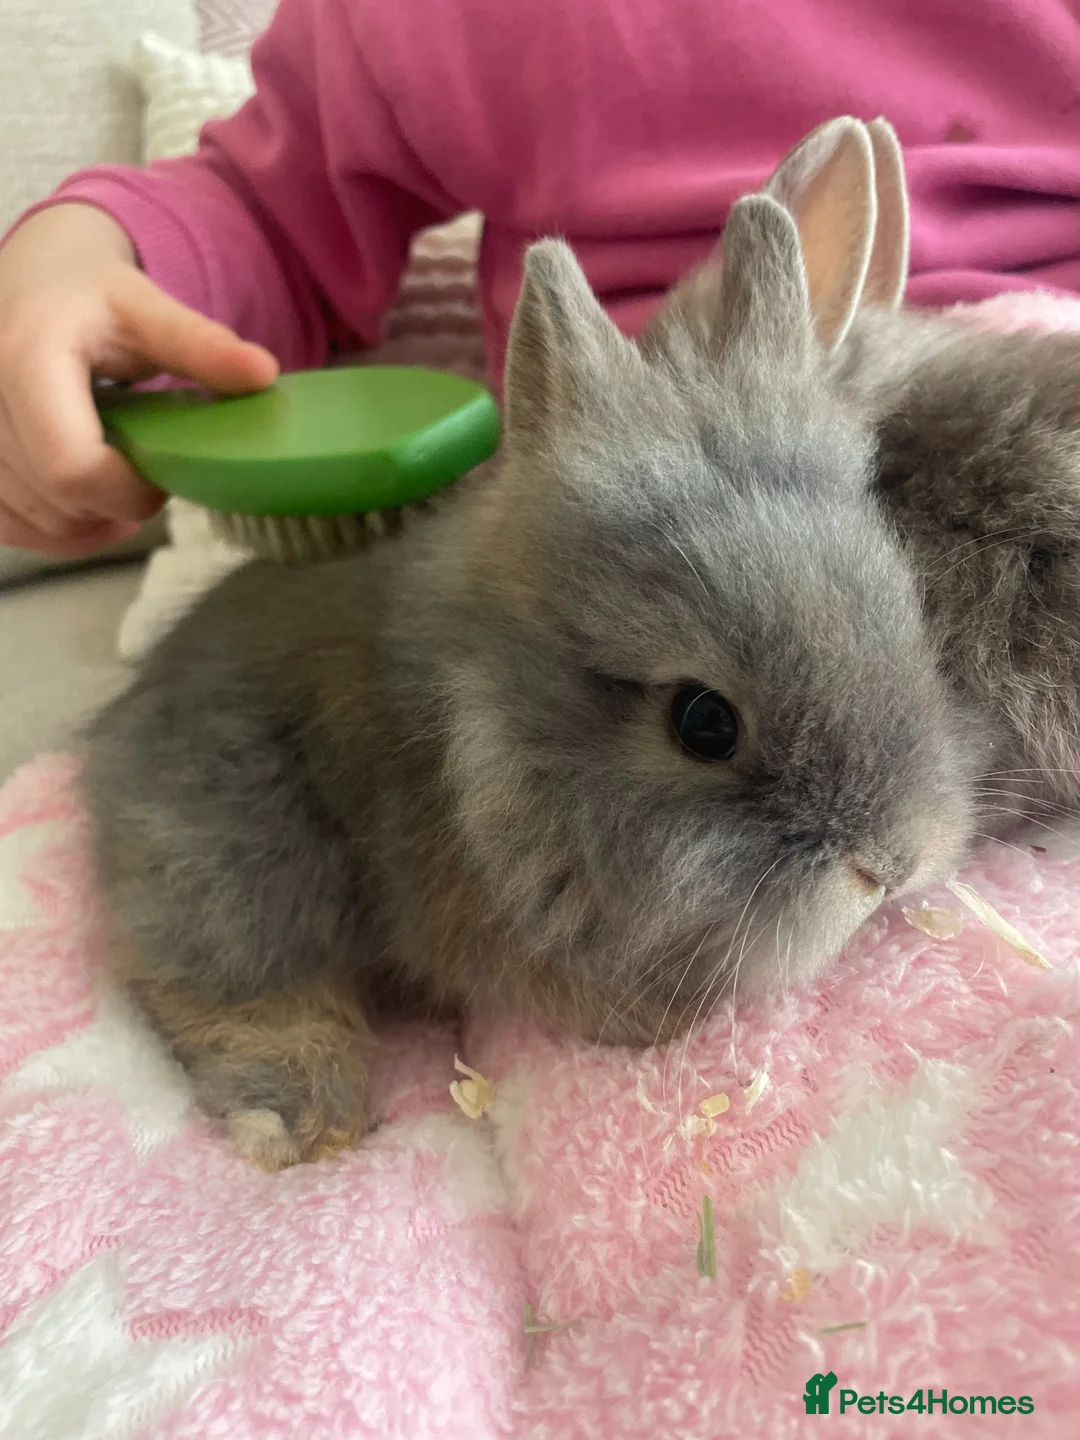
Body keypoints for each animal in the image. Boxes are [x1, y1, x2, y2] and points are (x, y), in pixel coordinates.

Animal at [82, 128, 976, 1171]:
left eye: (904, 605)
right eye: (704, 723)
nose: (892, 865)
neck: (496, 733)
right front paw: (669, 1023)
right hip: (241, 866)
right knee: (215, 987)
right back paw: (306, 1122)